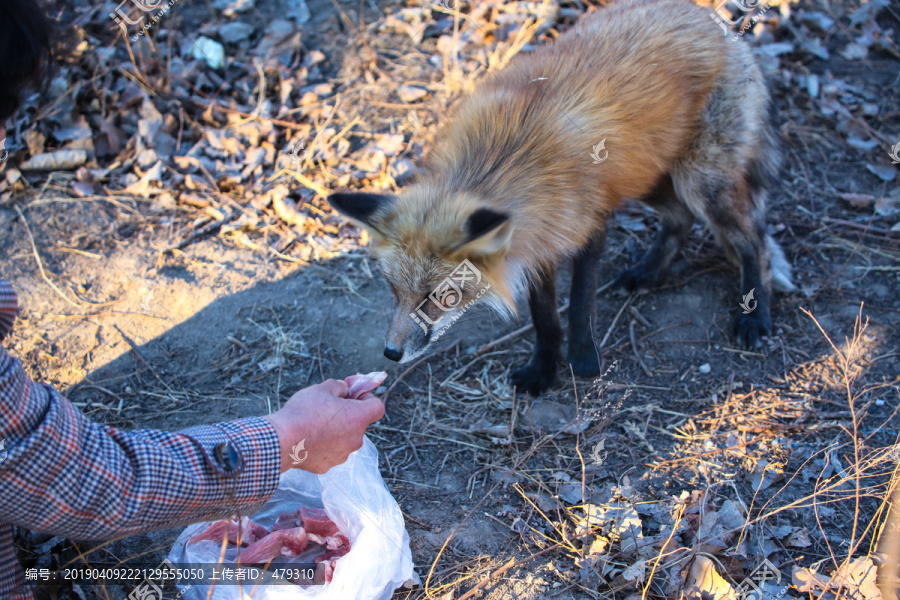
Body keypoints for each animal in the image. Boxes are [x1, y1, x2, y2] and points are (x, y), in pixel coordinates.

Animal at [326, 0, 792, 394]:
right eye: (393, 289)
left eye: (442, 297)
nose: (391, 353)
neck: (503, 158)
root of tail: (720, 24)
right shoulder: (537, 241)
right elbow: (546, 318)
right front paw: (543, 370)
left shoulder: (588, 225)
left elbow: (580, 302)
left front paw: (583, 359)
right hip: (650, 179)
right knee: (681, 220)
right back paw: (647, 273)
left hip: (699, 181)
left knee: (754, 241)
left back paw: (754, 314)